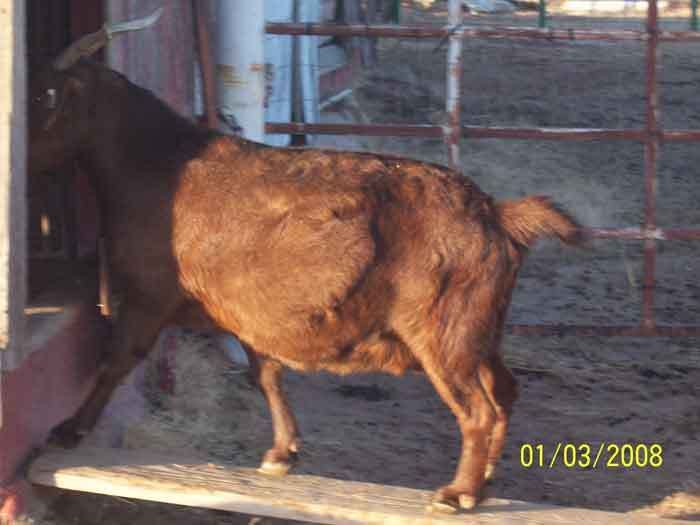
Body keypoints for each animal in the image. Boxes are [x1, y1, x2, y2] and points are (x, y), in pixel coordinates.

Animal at [28, 11, 581, 512]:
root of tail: (497, 213)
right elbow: (266, 374)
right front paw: (281, 453)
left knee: (478, 409)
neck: (156, 159)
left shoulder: (149, 295)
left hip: (445, 333)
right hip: (480, 331)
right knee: (504, 391)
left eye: (47, 96)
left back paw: (458, 493)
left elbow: (117, 359)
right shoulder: (247, 312)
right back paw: (482, 481)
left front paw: (67, 429)